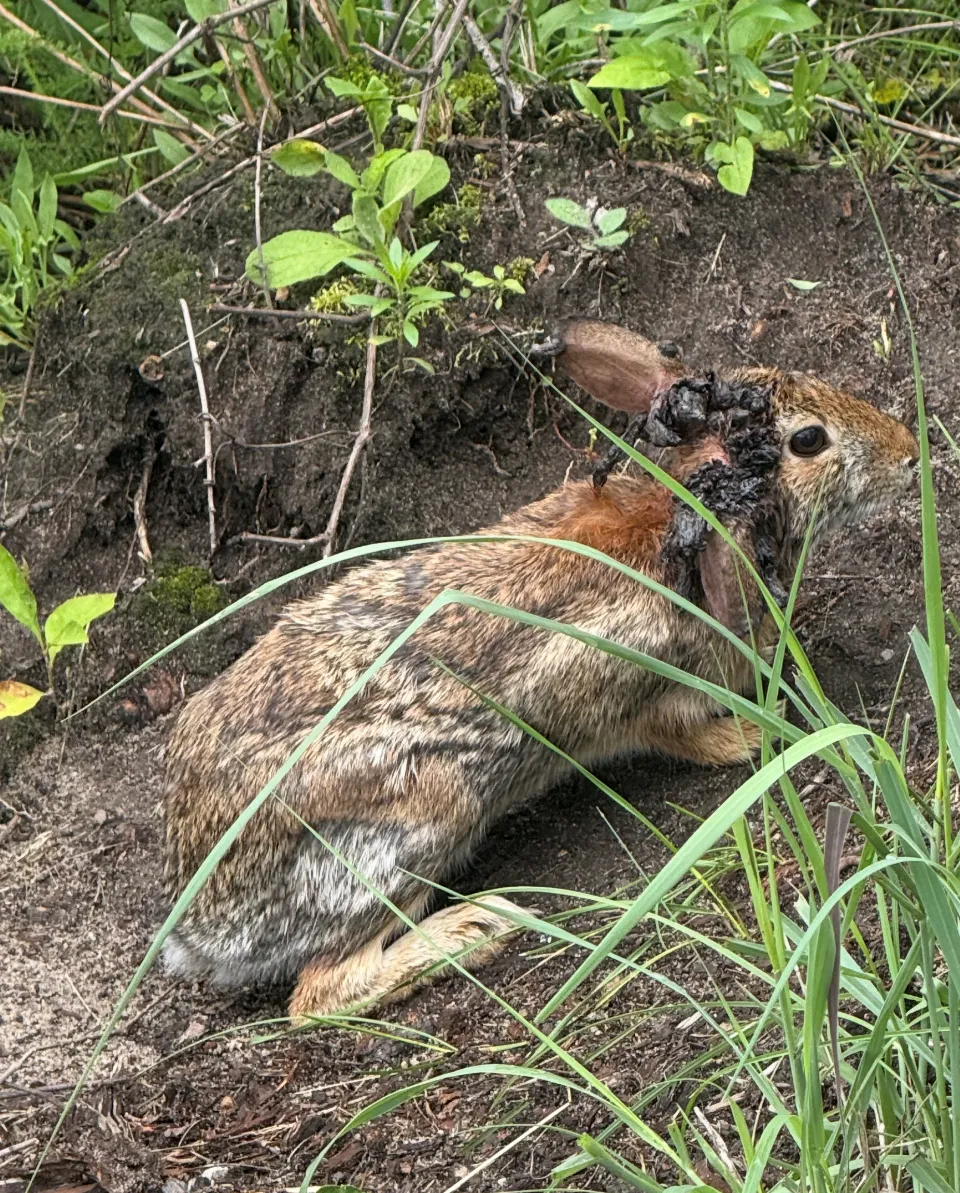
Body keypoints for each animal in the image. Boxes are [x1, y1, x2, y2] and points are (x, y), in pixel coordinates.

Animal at [161, 319, 918, 1020]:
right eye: (809, 441)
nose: (909, 452)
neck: (675, 519)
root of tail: (200, 930)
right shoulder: (632, 684)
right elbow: (678, 731)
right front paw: (761, 734)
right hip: (426, 816)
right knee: (320, 993)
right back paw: (475, 927)